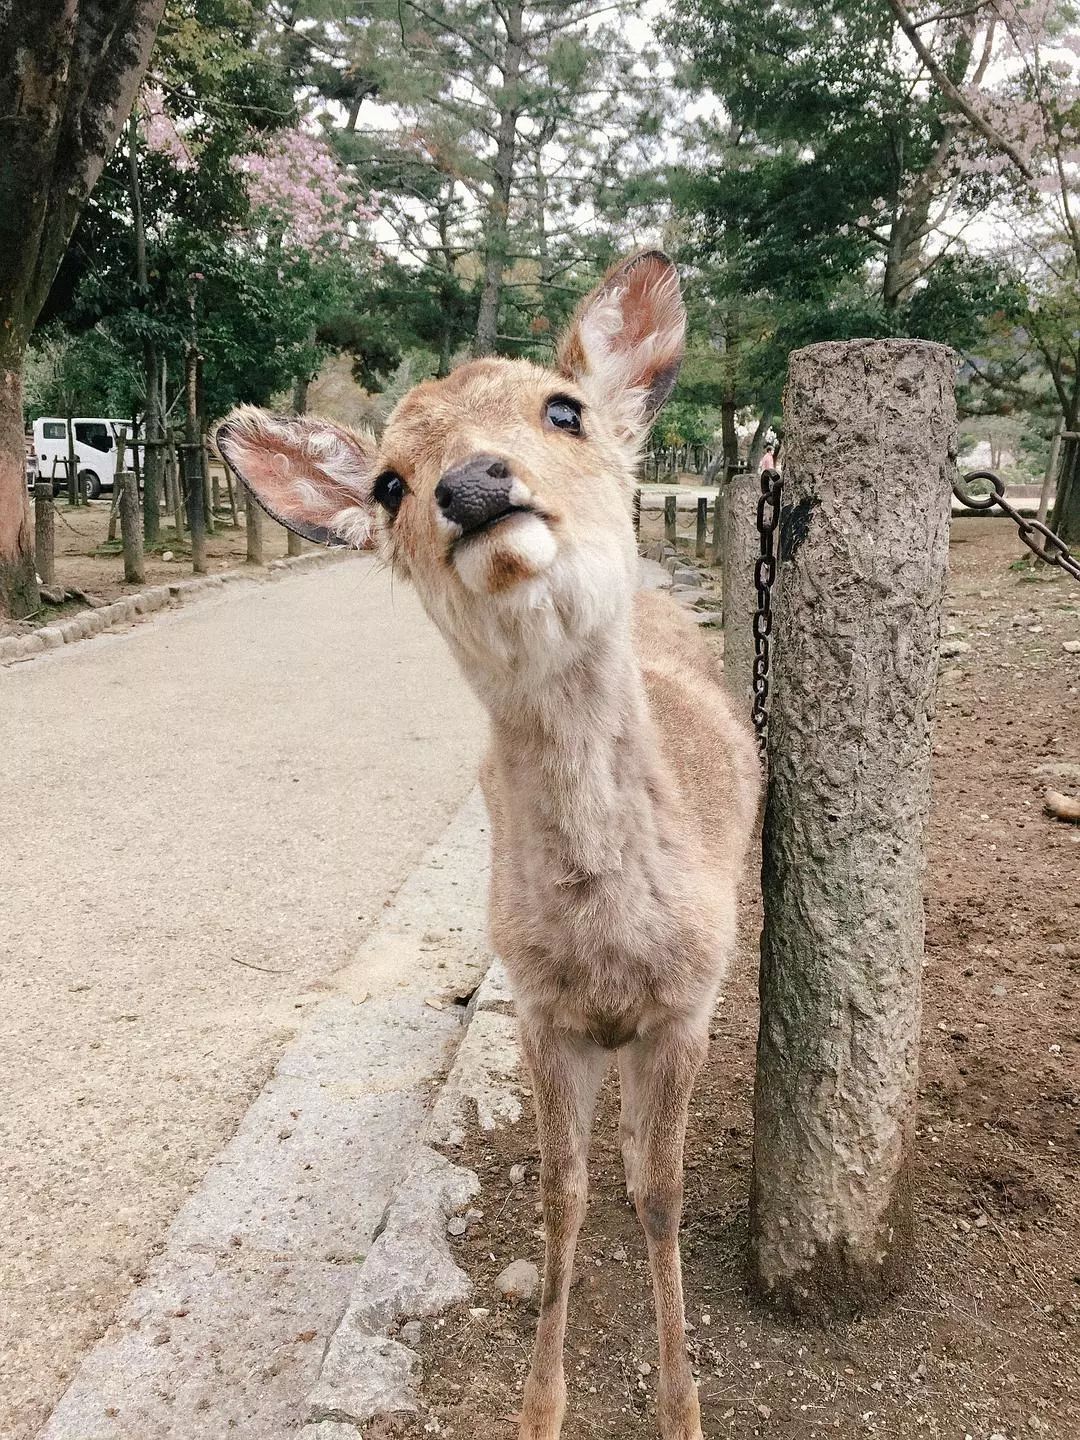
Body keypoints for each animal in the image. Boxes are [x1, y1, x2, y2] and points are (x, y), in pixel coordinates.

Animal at [216, 253, 760, 1434]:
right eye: (388, 484)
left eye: (564, 409)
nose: (470, 485)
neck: (610, 944)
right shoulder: (538, 1004)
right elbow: (562, 1194)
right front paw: (538, 1410)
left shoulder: (691, 1000)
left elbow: (665, 1195)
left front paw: (683, 1409)